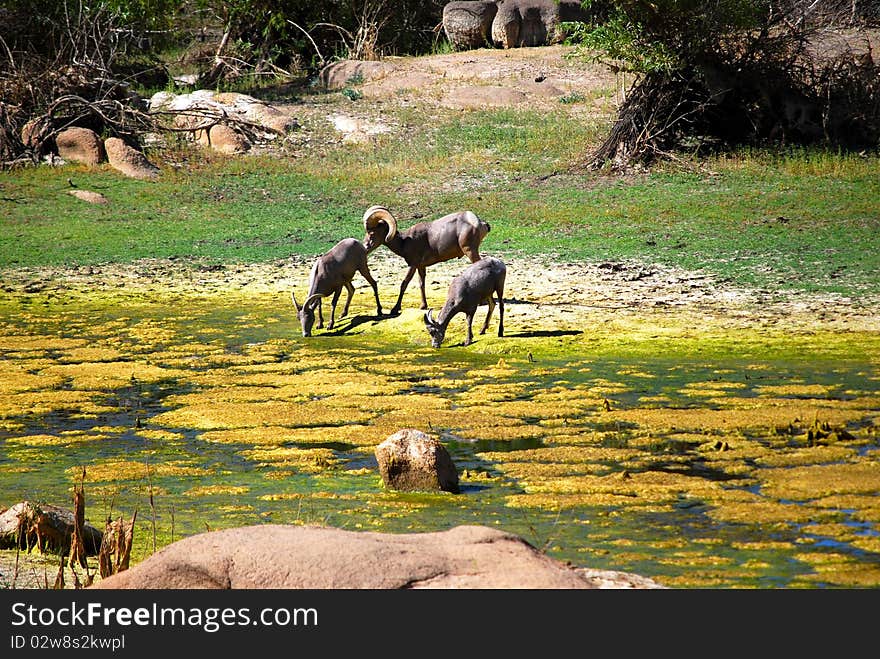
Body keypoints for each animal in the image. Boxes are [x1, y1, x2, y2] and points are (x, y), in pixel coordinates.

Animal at [360, 205, 492, 316]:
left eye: (372, 233)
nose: (365, 247)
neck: (404, 242)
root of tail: (480, 223)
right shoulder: (421, 267)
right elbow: (421, 284)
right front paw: (423, 306)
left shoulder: (412, 265)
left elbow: (404, 284)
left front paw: (395, 309)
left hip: (470, 250)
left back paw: (482, 302)